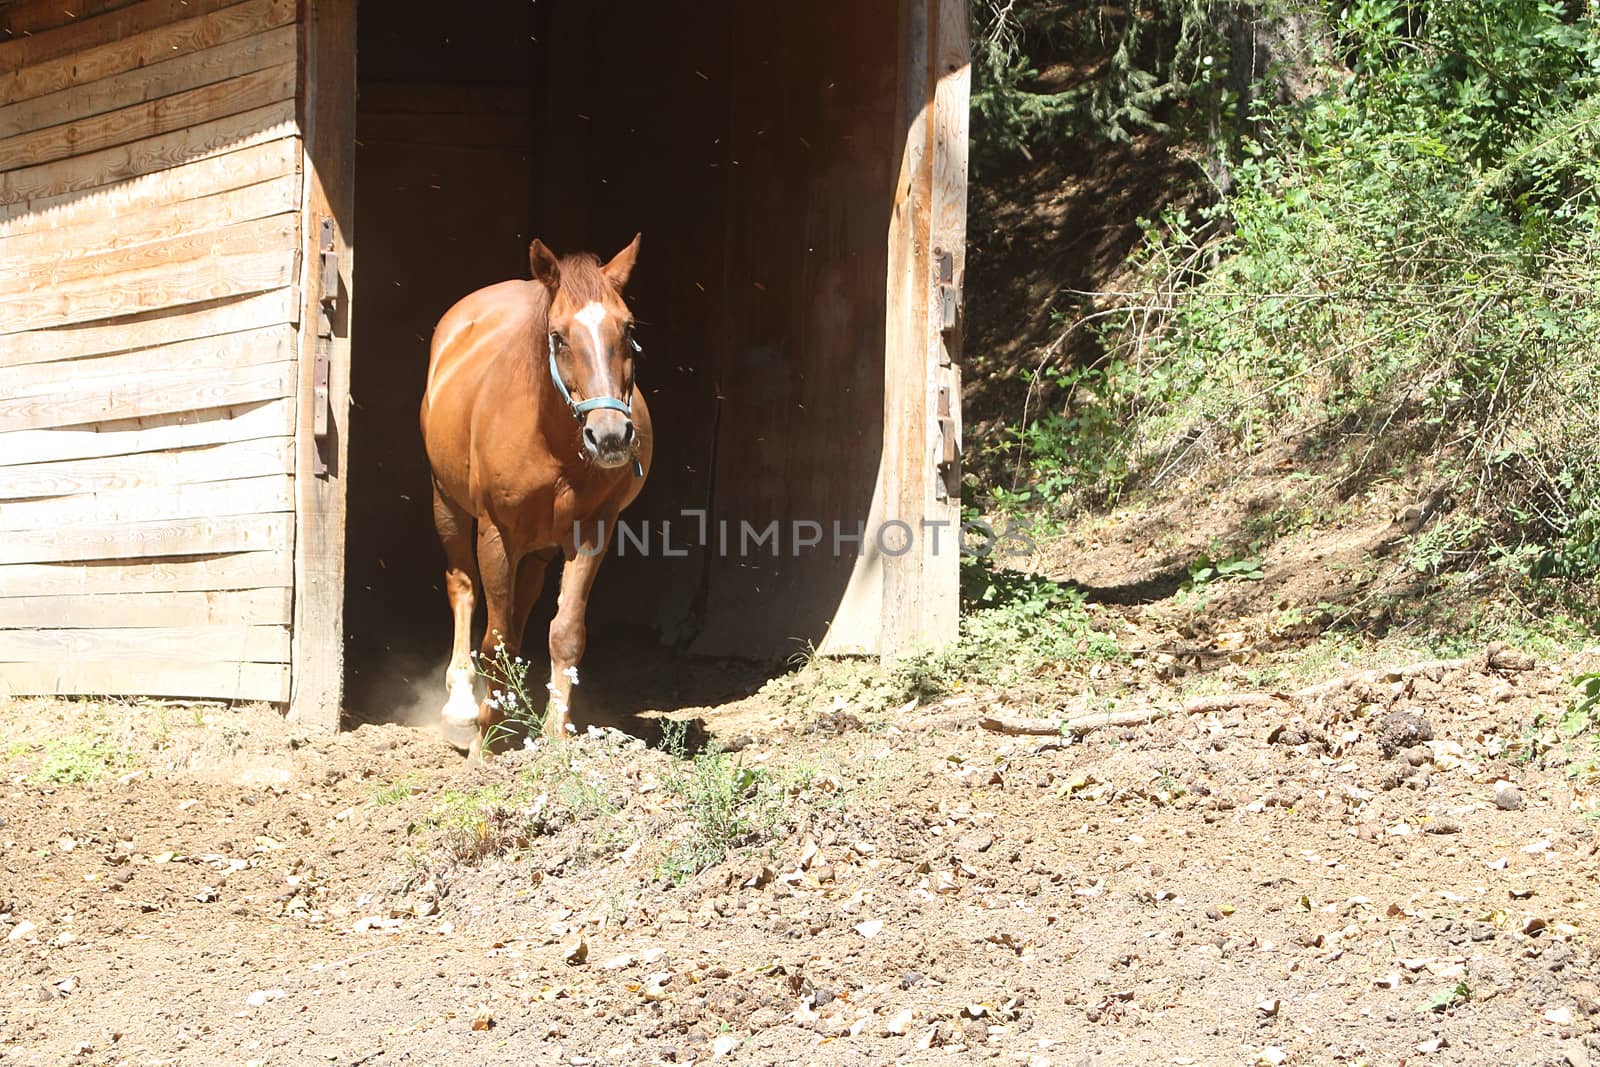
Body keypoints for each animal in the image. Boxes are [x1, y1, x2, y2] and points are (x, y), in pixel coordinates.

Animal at [425, 233, 656, 755]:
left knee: (523, 603)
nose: (610, 437)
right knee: (463, 589)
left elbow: (564, 631)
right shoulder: (496, 533)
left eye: (628, 327)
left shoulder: (591, 530)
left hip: (539, 545)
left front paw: (554, 733)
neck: (551, 442)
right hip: (447, 503)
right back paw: (462, 705)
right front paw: (485, 737)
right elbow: (494, 638)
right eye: (558, 336)